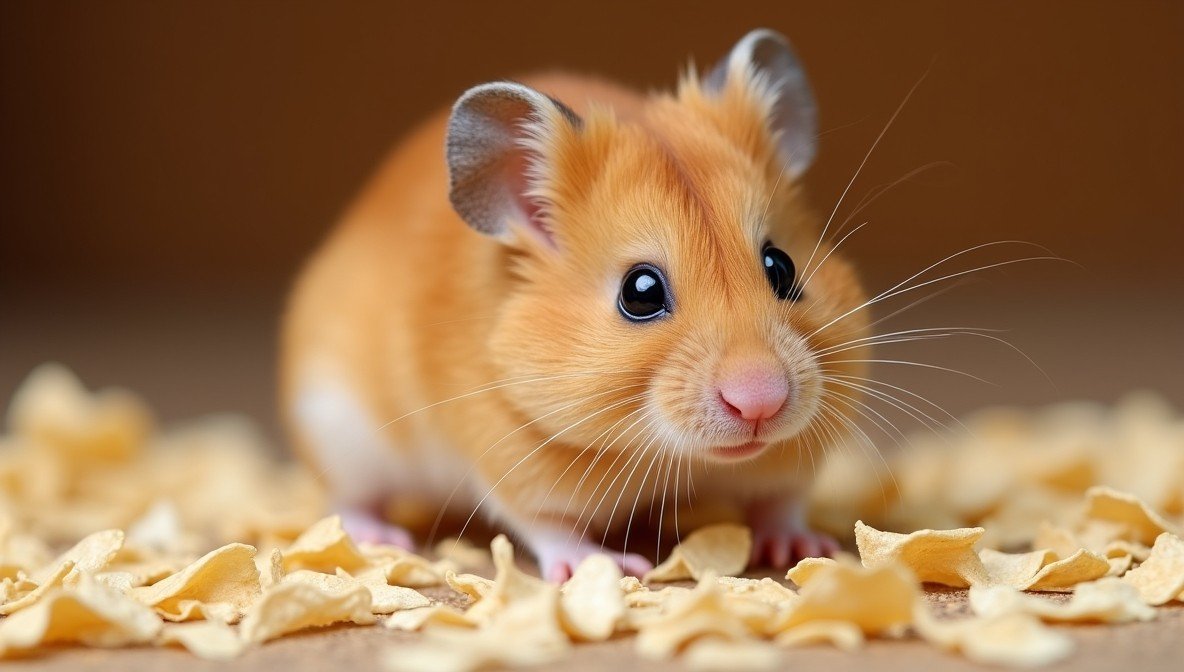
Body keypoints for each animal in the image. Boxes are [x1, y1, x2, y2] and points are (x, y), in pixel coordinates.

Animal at [281, 28, 871, 581]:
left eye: (782, 267)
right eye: (640, 293)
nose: (760, 405)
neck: (668, 453)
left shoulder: (794, 459)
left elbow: (782, 502)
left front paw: (805, 548)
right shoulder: (510, 460)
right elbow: (547, 524)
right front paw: (611, 566)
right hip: (338, 430)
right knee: (349, 498)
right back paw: (381, 538)